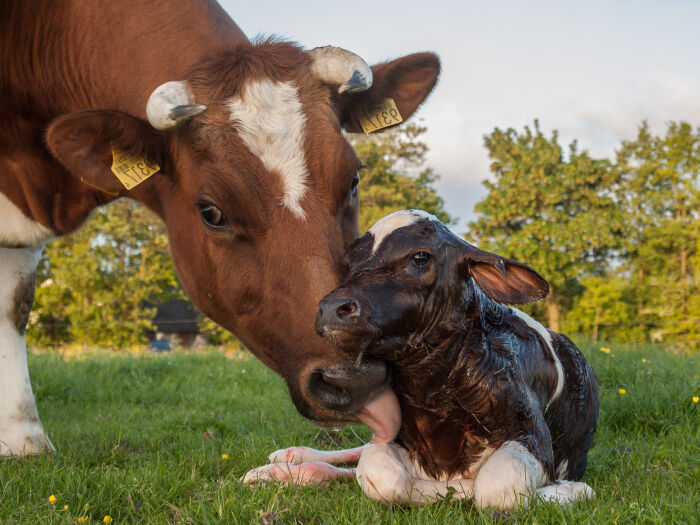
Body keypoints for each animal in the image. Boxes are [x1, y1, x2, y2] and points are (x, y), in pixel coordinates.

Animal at [243, 209, 600, 508]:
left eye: (420, 257)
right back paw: (287, 462)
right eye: (348, 264)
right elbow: (378, 473)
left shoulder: (531, 433)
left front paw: (570, 489)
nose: (332, 308)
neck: (434, 388)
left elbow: (495, 488)